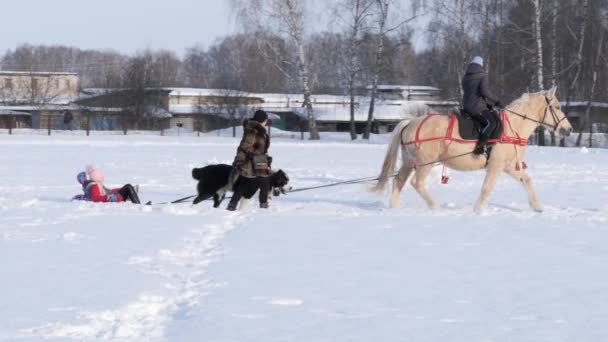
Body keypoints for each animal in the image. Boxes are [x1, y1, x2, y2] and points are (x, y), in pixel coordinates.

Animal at [372, 87, 572, 211]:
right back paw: (435, 207)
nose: (568, 129)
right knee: (417, 183)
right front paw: (478, 210)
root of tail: (410, 122)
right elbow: (486, 188)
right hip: (424, 163)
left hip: (408, 162)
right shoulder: (496, 166)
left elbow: (527, 181)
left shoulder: (508, 167)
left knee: (398, 181)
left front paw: (537, 207)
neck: (512, 127)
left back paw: (395, 208)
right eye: (556, 107)